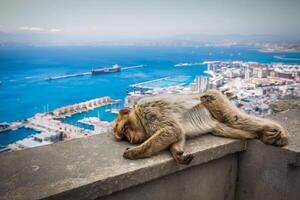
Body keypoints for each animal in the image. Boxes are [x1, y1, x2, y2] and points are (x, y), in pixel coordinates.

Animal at [112, 90, 288, 165]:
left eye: (125, 130)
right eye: (125, 136)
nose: (131, 139)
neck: (139, 116)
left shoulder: (148, 112)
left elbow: (172, 130)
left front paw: (134, 153)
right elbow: (179, 133)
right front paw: (177, 153)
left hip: (214, 98)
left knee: (234, 118)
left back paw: (276, 131)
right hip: (215, 122)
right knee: (227, 128)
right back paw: (262, 135)